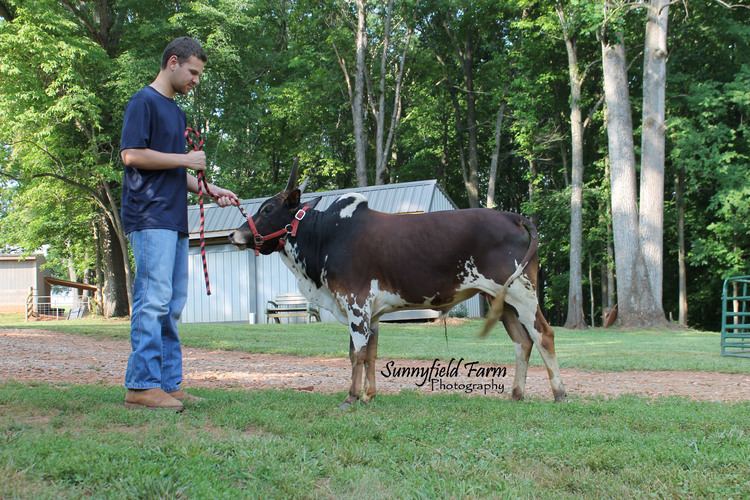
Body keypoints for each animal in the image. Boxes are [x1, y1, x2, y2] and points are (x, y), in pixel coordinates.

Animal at [231, 167, 568, 406]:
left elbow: (356, 353)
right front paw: (368, 395)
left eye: (268, 209)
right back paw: (516, 394)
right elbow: (370, 353)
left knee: (543, 334)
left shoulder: (356, 304)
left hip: (522, 293)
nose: (236, 235)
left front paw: (351, 398)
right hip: (504, 300)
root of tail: (511, 216)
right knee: (522, 342)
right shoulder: (372, 313)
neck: (327, 235)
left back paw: (560, 393)